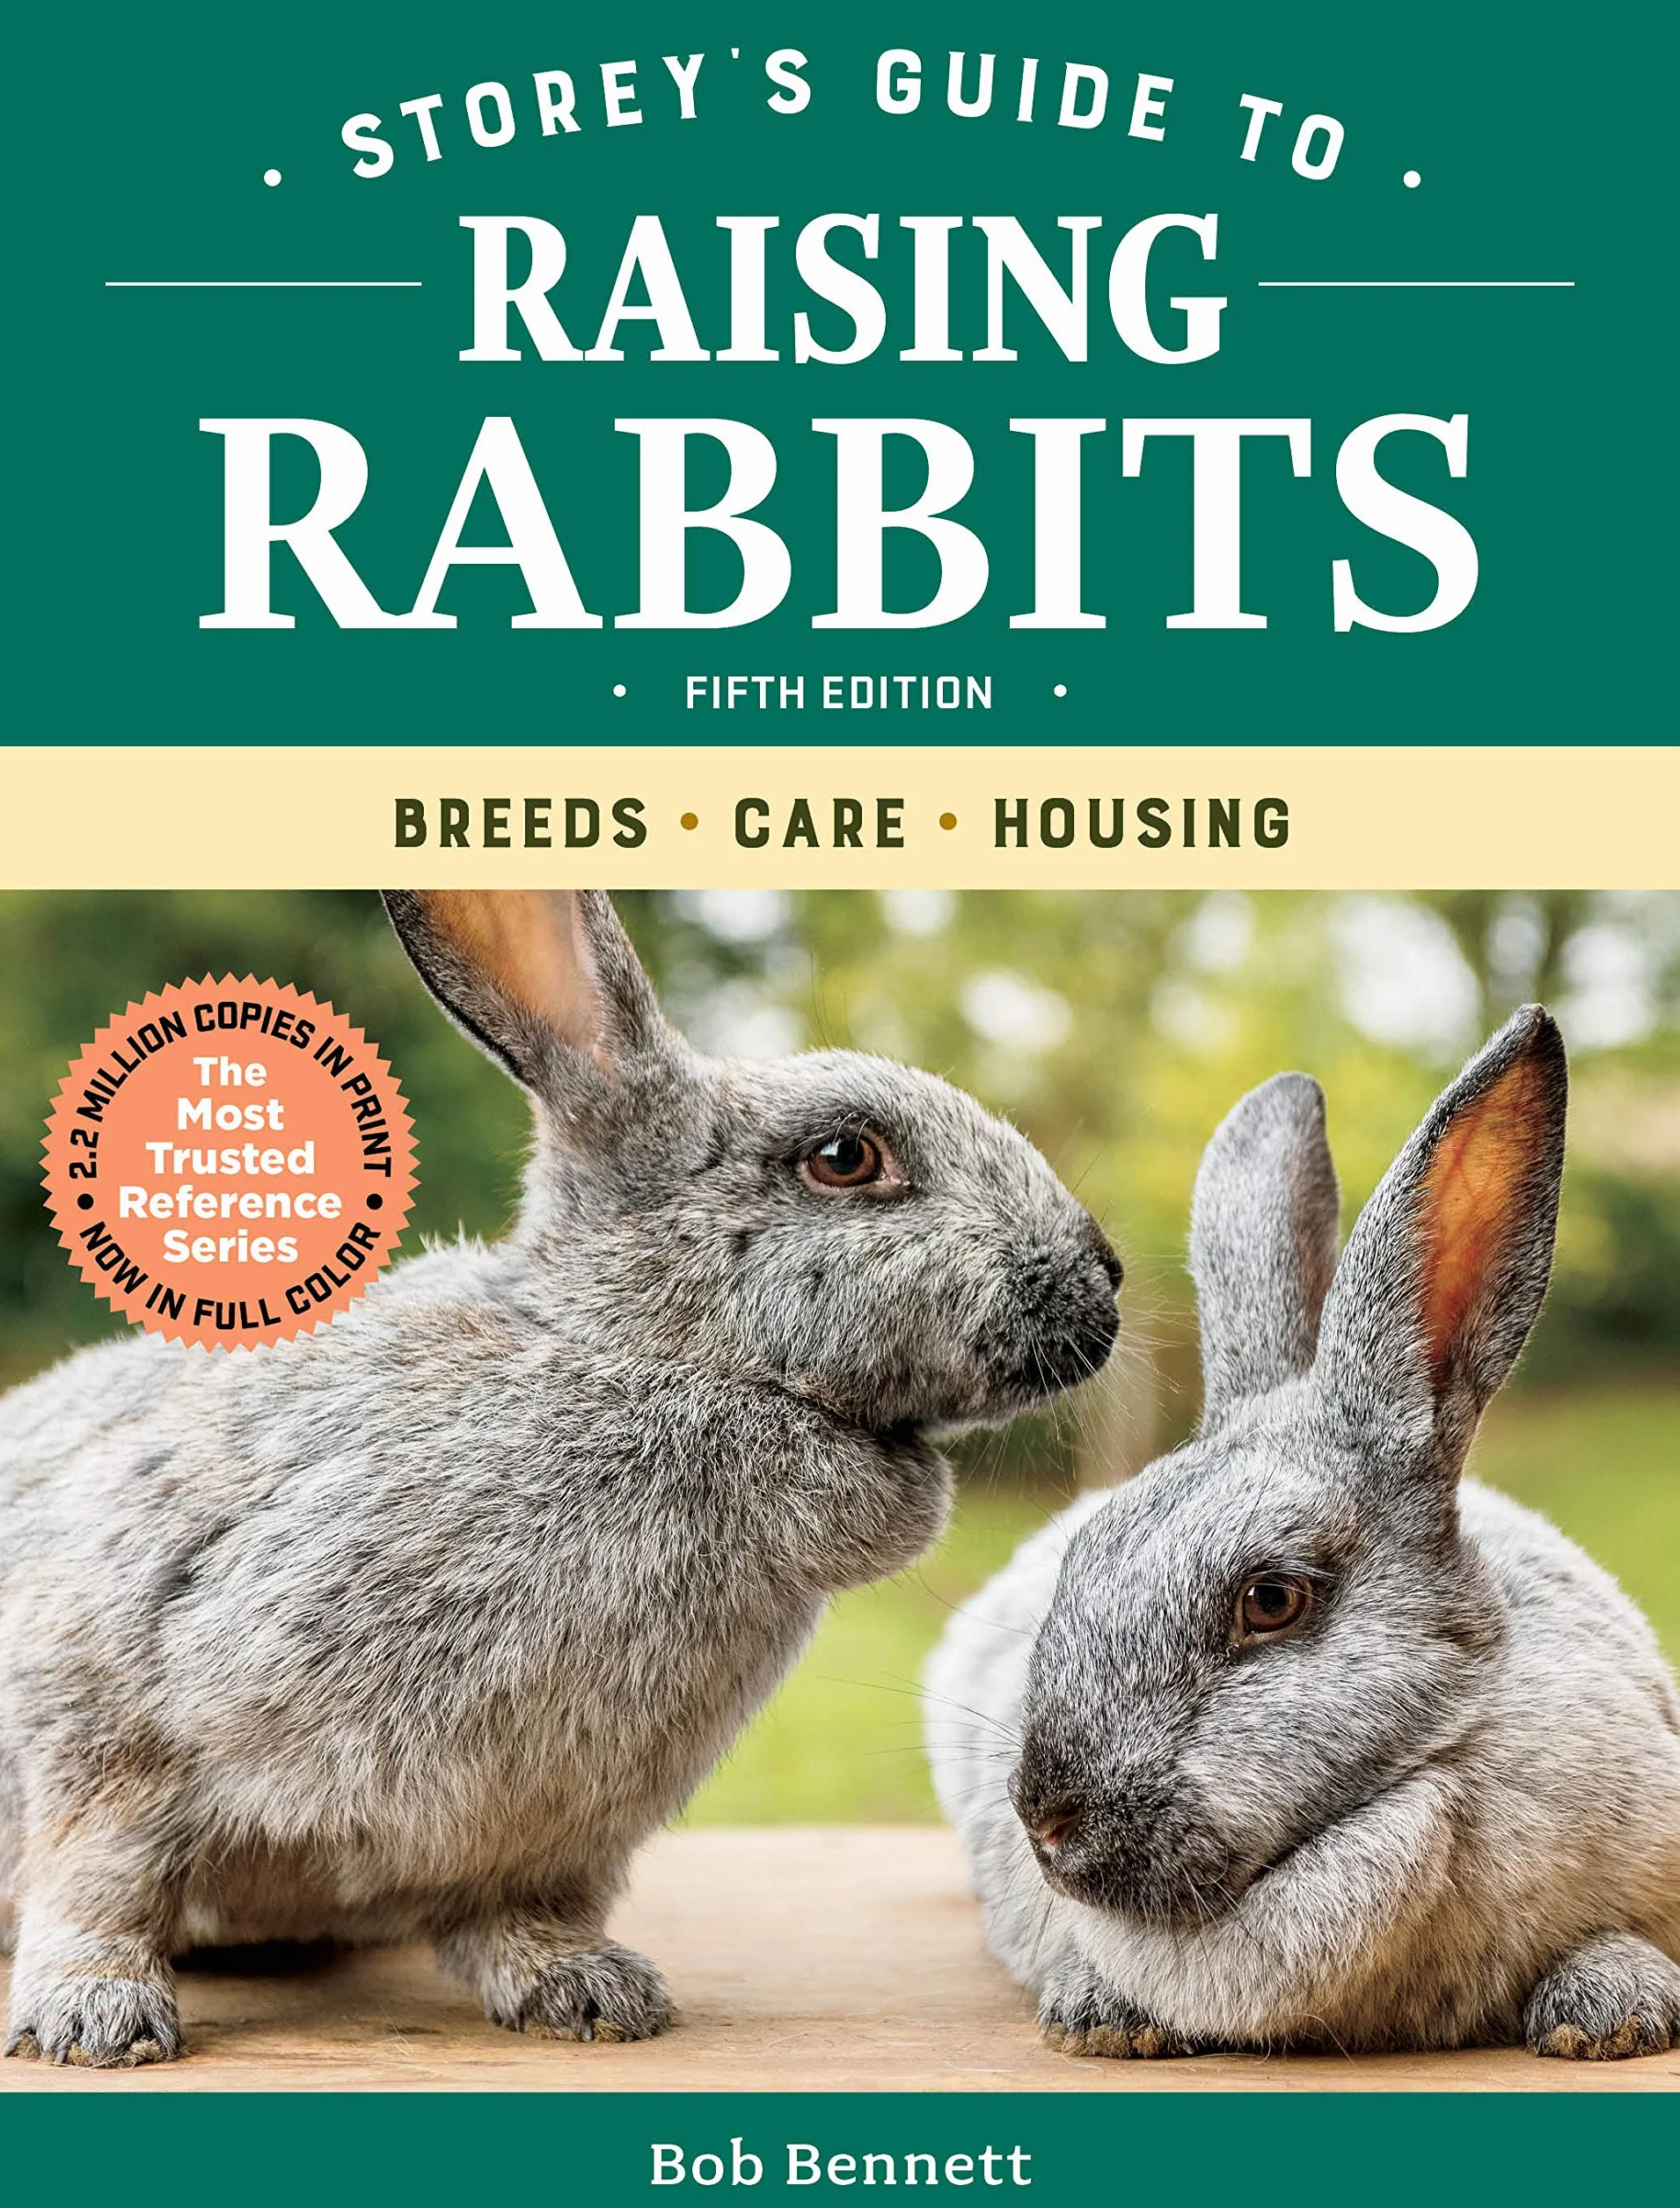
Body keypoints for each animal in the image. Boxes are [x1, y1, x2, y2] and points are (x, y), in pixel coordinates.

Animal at [0, 889, 1123, 2067]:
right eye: (844, 1156)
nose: (1103, 1281)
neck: (635, 1354)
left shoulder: (549, 1837)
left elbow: (517, 1916)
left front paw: (586, 1989)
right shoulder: (103, 1689)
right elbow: (98, 1880)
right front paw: (94, 2017)